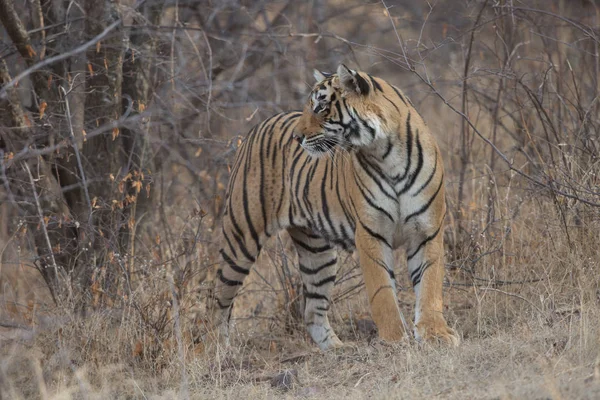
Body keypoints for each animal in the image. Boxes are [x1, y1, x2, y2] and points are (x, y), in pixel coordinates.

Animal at [213, 64, 462, 348]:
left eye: (320, 107)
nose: (297, 137)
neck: (388, 154)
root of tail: (258, 125)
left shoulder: (427, 230)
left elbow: (430, 285)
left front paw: (435, 334)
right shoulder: (371, 233)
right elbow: (382, 292)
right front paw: (394, 339)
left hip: (317, 253)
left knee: (312, 310)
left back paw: (337, 349)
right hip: (241, 238)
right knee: (218, 301)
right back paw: (216, 350)